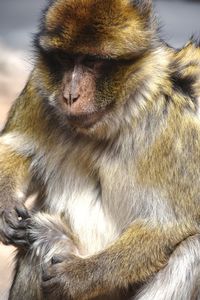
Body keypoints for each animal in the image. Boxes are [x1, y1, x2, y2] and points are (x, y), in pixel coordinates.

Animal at [0, 0, 200, 298]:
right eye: (65, 60)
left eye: (92, 62)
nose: (70, 95)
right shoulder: (40, 84)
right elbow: (17, 149)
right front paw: (4, 207)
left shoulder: (178, 123)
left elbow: (170, 224)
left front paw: (78, 276)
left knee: (193, 248)